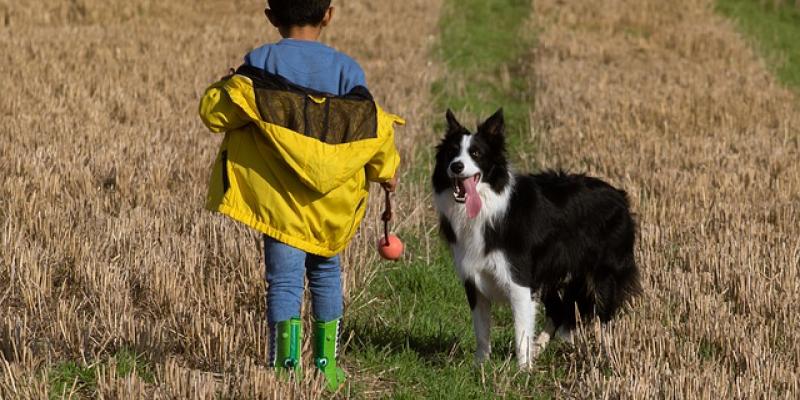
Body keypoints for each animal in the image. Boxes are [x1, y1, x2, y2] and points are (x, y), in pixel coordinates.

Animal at [434, 110, 640, 368]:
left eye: (476, 154)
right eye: (451, 152)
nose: (456, 166)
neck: (489, 206)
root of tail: (620, 196)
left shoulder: (519, 281)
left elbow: (520, 331)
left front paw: (523, 371)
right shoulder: (473, 279)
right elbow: (481, 331)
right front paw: (479, 366)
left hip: (603, 274)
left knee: (603, 317)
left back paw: (607, 359)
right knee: (560, 310)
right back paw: (541, 347)